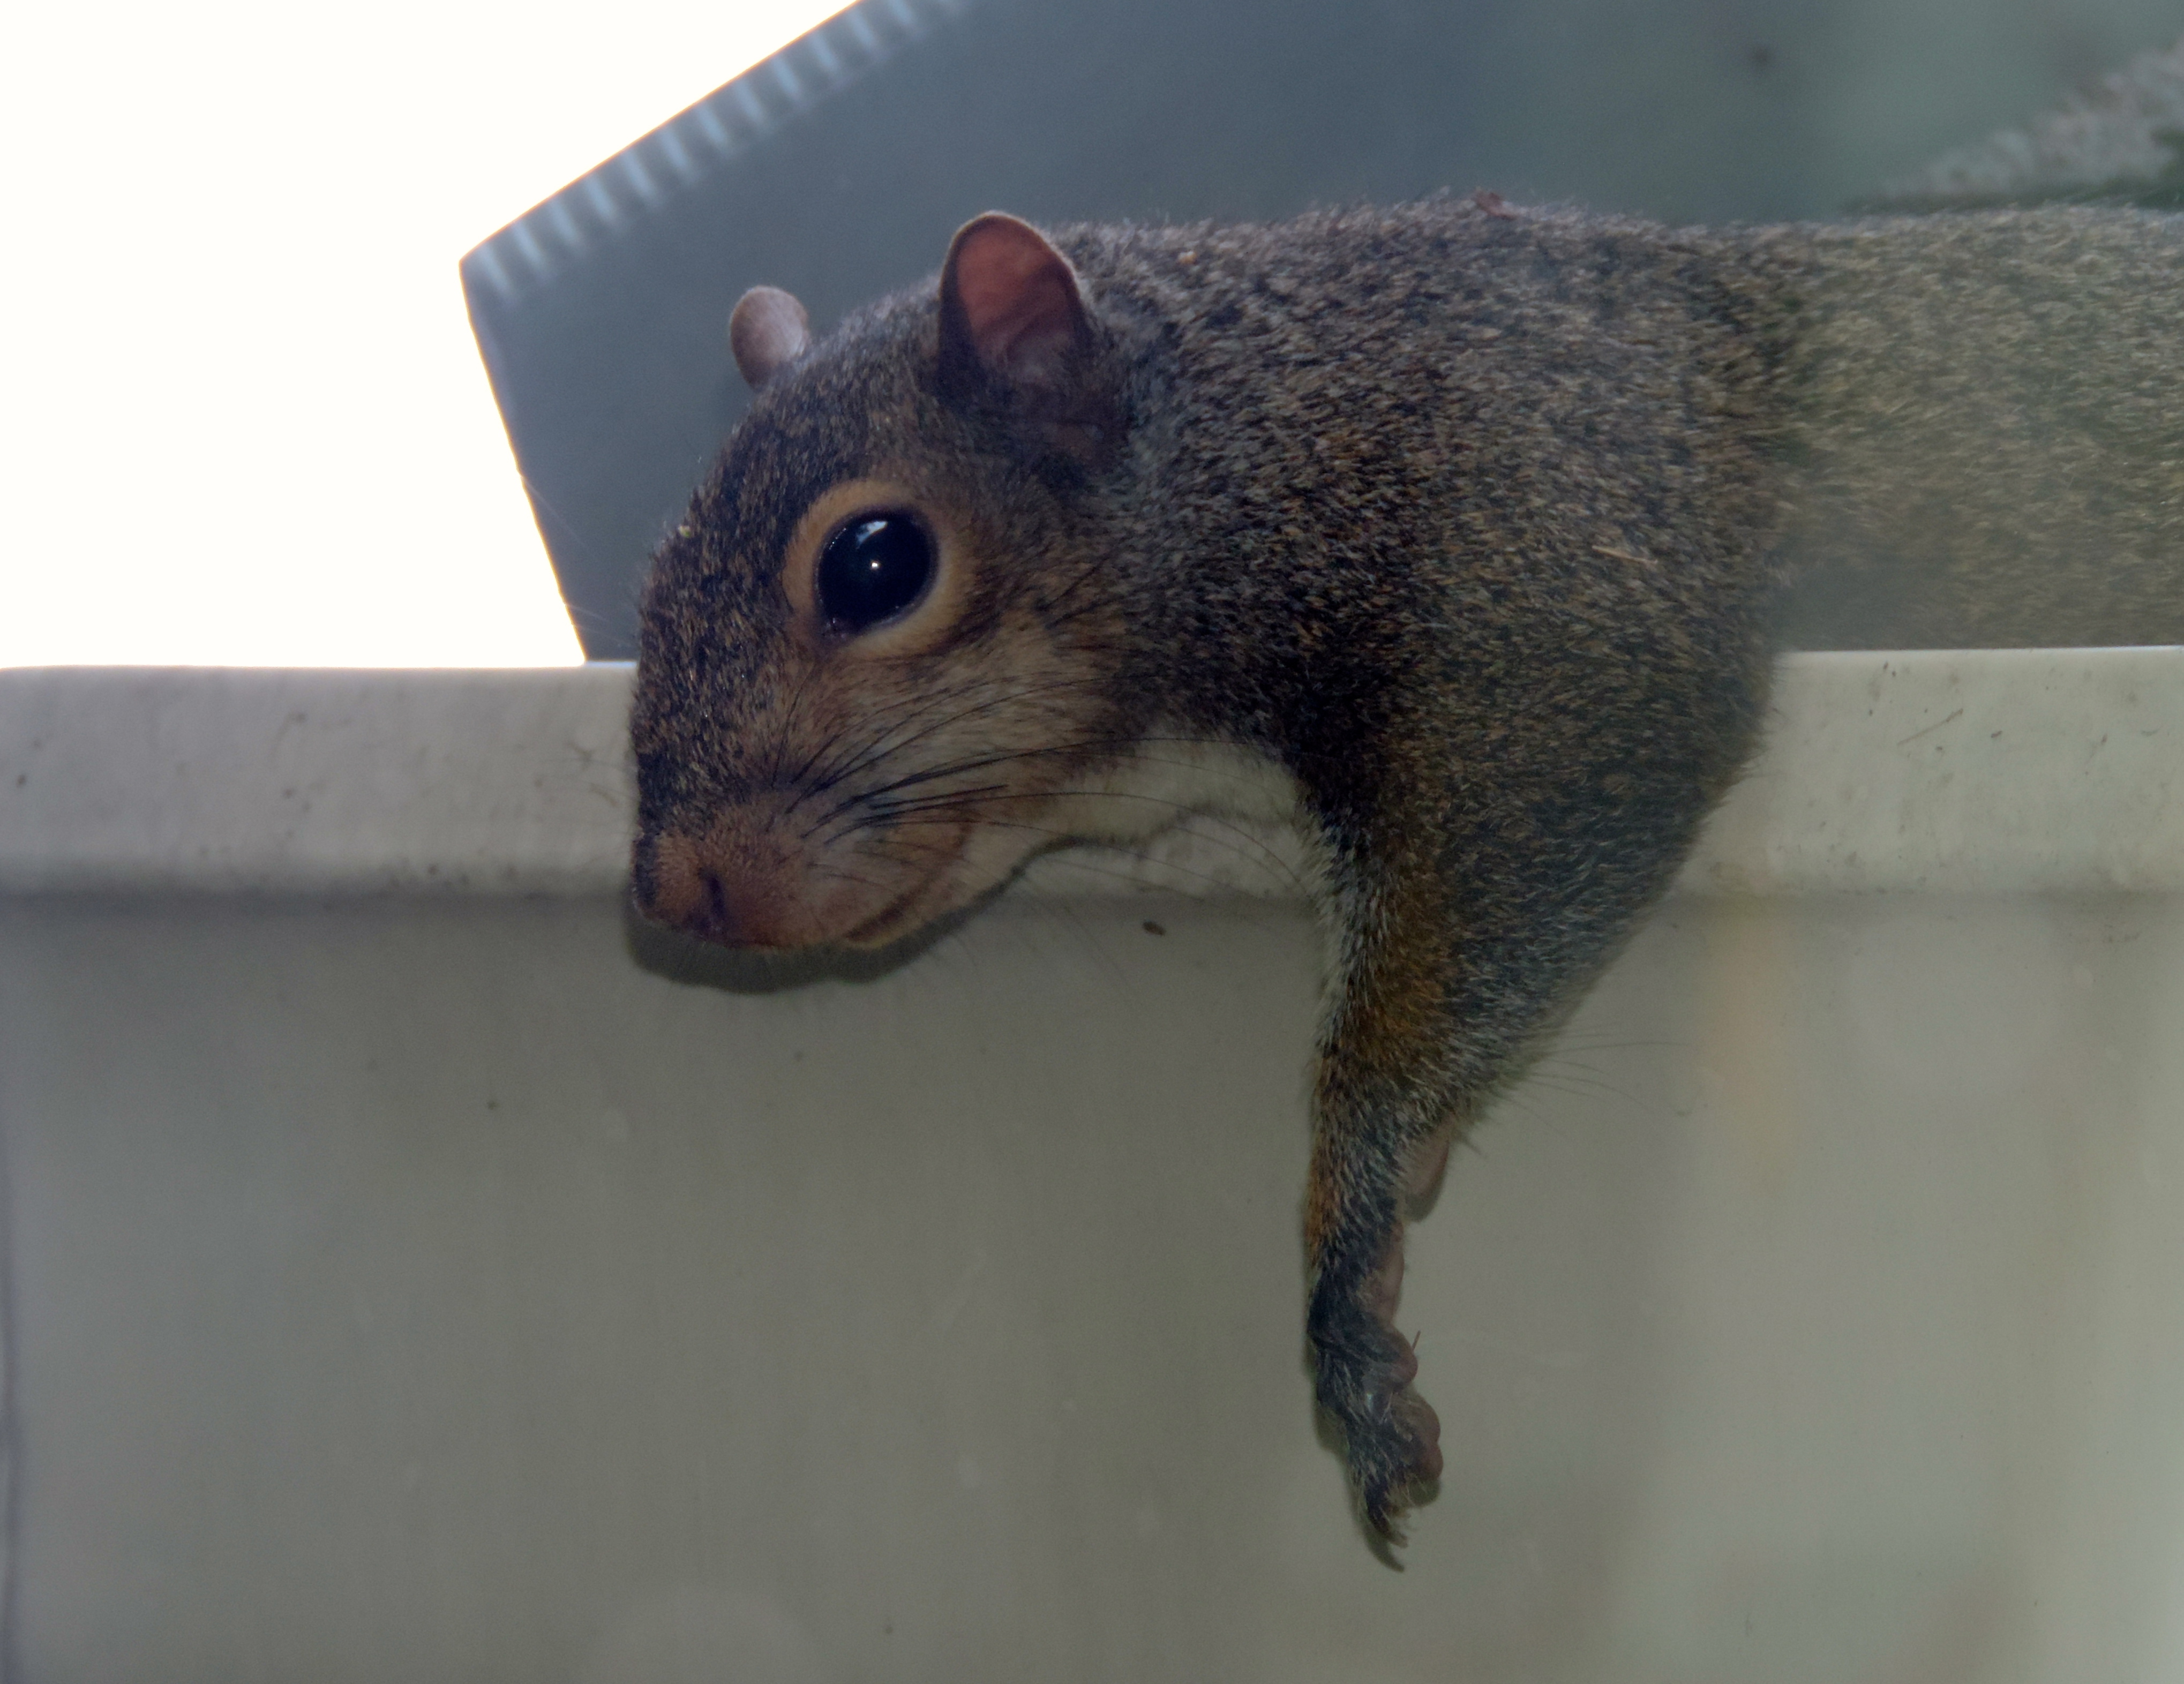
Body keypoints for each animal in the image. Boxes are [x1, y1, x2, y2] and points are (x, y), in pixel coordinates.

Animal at [627, 196, 2184, 1544]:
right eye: (649, 579)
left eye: (875, 562)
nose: (673, 895)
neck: (1291, 416)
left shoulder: (1543, 588)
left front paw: (1354, 1227)